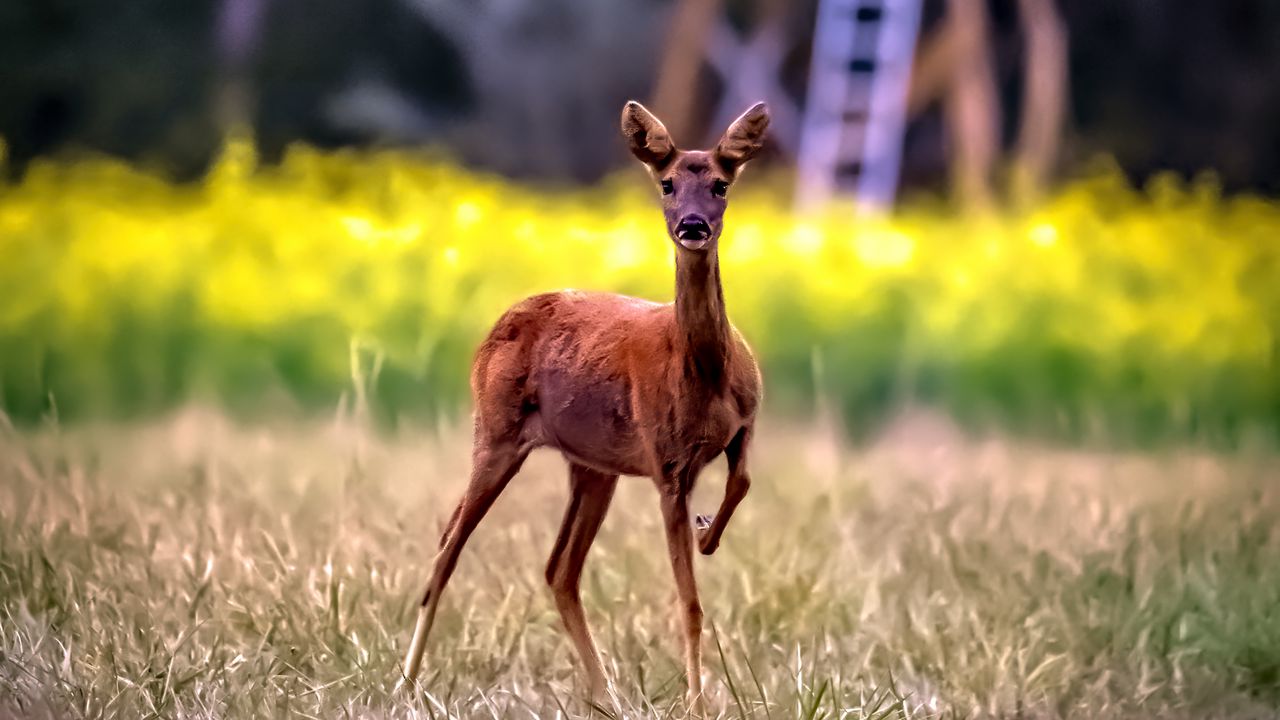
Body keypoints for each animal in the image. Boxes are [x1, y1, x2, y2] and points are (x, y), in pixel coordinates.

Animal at [401, 98, 768, 702]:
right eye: (667, 183)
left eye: (720, 183)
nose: (692, 226)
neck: (706, 374)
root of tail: (494, 328)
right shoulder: (667, 464)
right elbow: (689, 604)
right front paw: (696, 703)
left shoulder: (744, 427)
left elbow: (742, 482)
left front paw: (706, 534)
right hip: (496, 433)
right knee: (448, 548)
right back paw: (406, 685)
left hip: (593, 465)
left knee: (559, 569)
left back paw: (608, 698)